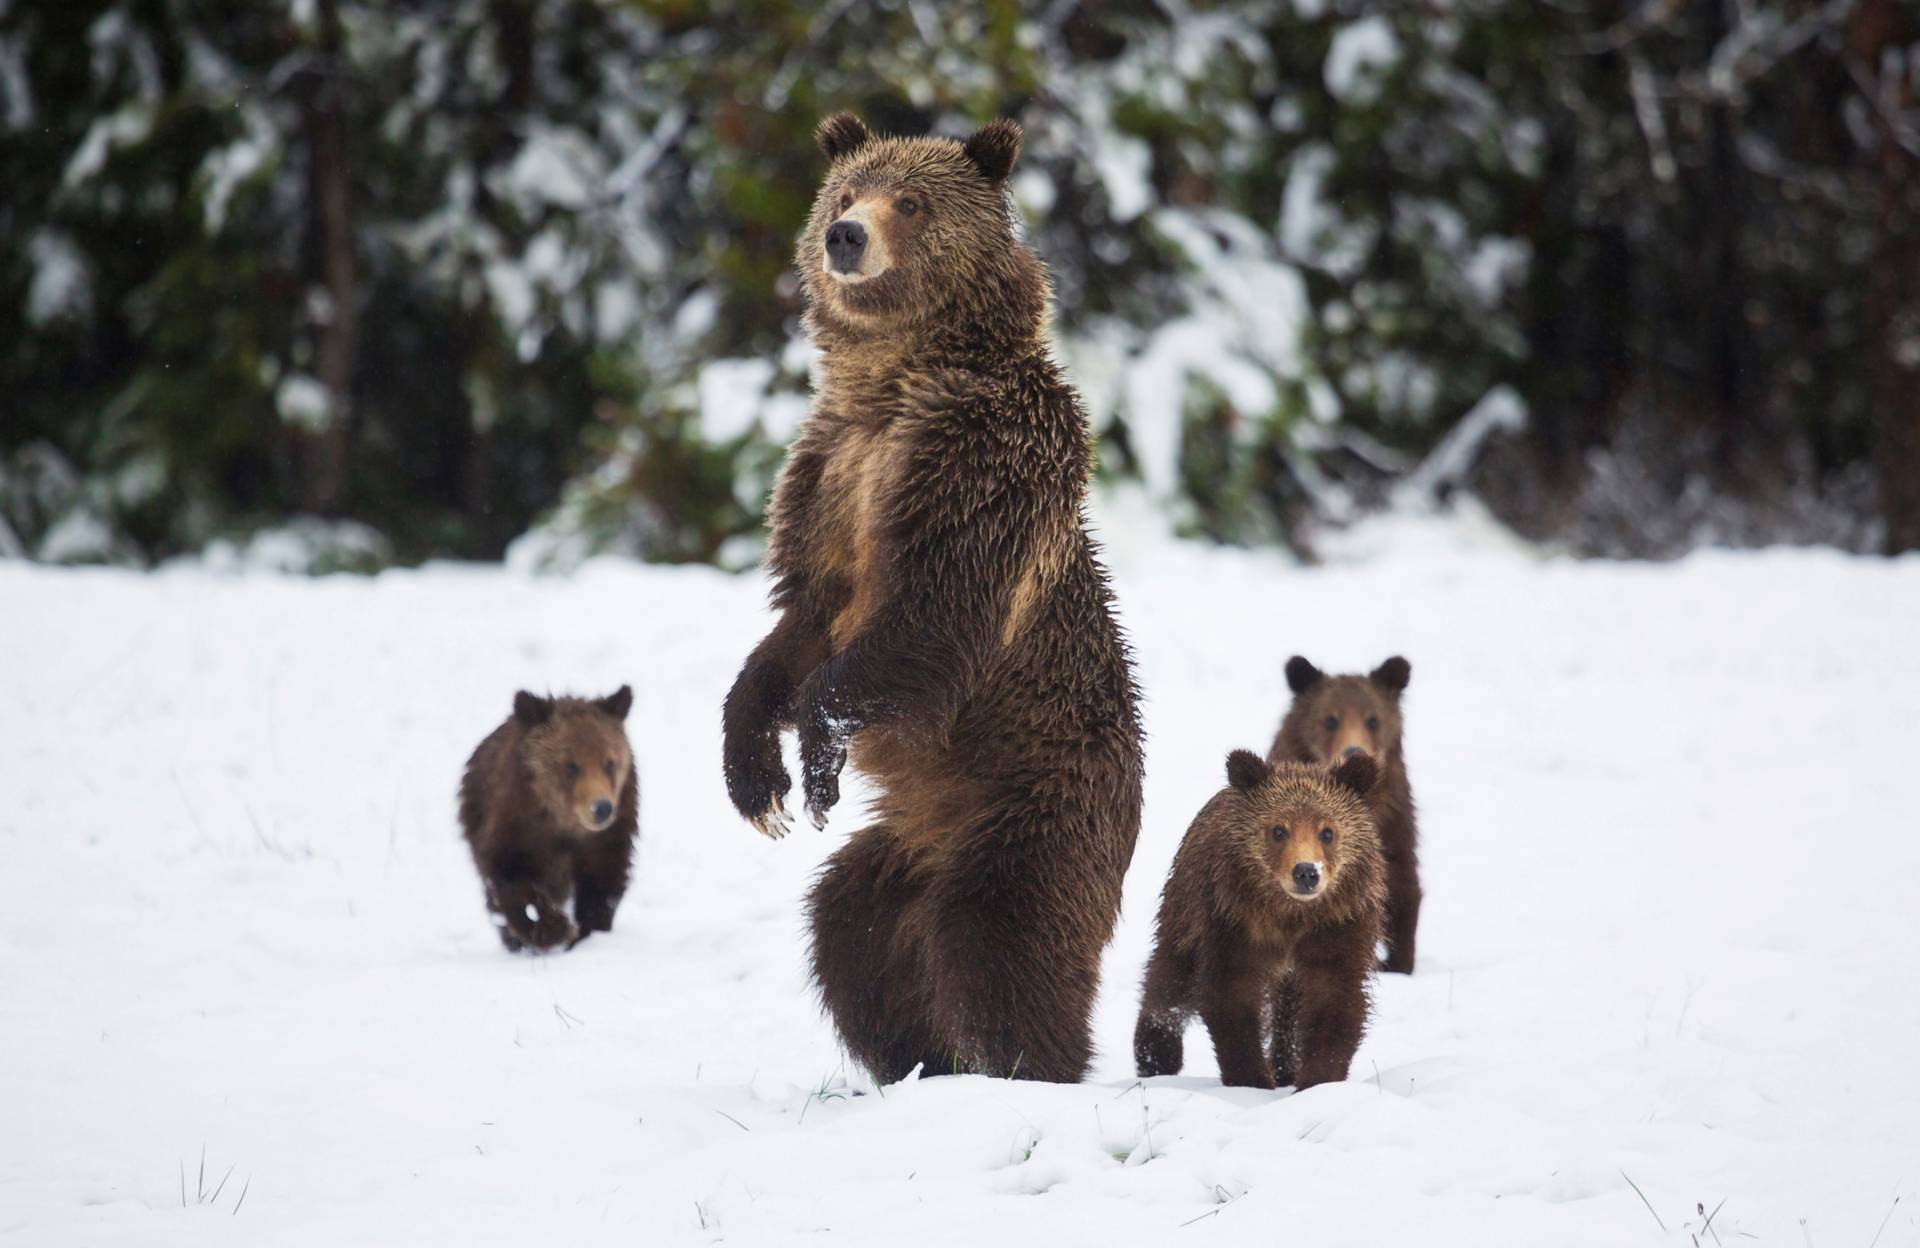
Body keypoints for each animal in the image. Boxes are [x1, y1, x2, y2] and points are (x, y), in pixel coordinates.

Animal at [460, 683, 641, 948]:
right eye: (571, 766)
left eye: (609, 763)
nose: (601, 808)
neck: (562, 823)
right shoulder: (513, 828)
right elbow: (510, 880)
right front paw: (550, 927)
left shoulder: (607, 840)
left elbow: (602, 886)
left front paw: (588, 932)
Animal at [721, 111, 1136, 1075]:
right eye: (845, 190)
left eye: (910, 201)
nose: (845, 236)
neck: (895, 383)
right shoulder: (830, 478)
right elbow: (797, 626)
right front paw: (760, 784)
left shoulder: (978, 469)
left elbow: (931, 617)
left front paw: (817, 760)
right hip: (903, 847)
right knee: (850, 932)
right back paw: (913, 1061)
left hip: (1034, 809)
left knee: (998, 942)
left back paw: (1024, 1067)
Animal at [1128, 748, 1390, 1090]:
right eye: (1279, 830)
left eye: (1327, 832)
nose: (1306, 872)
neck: (1290, 915)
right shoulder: (1233, 921)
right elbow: (1231, 994)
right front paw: (1250, 1079)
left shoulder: (1338, 926)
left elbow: (1335, 999)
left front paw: (1318, 1080)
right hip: (1184, 906)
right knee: (1170, 979)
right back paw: (1155, 1054)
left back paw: (1285, 1066)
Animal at [1267, 652, 1420, 971]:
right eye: (1330, 719)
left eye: (1373, 719)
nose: (1354, 751)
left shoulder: (1393, 823)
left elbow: (1401, 883)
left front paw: (1399, 963)